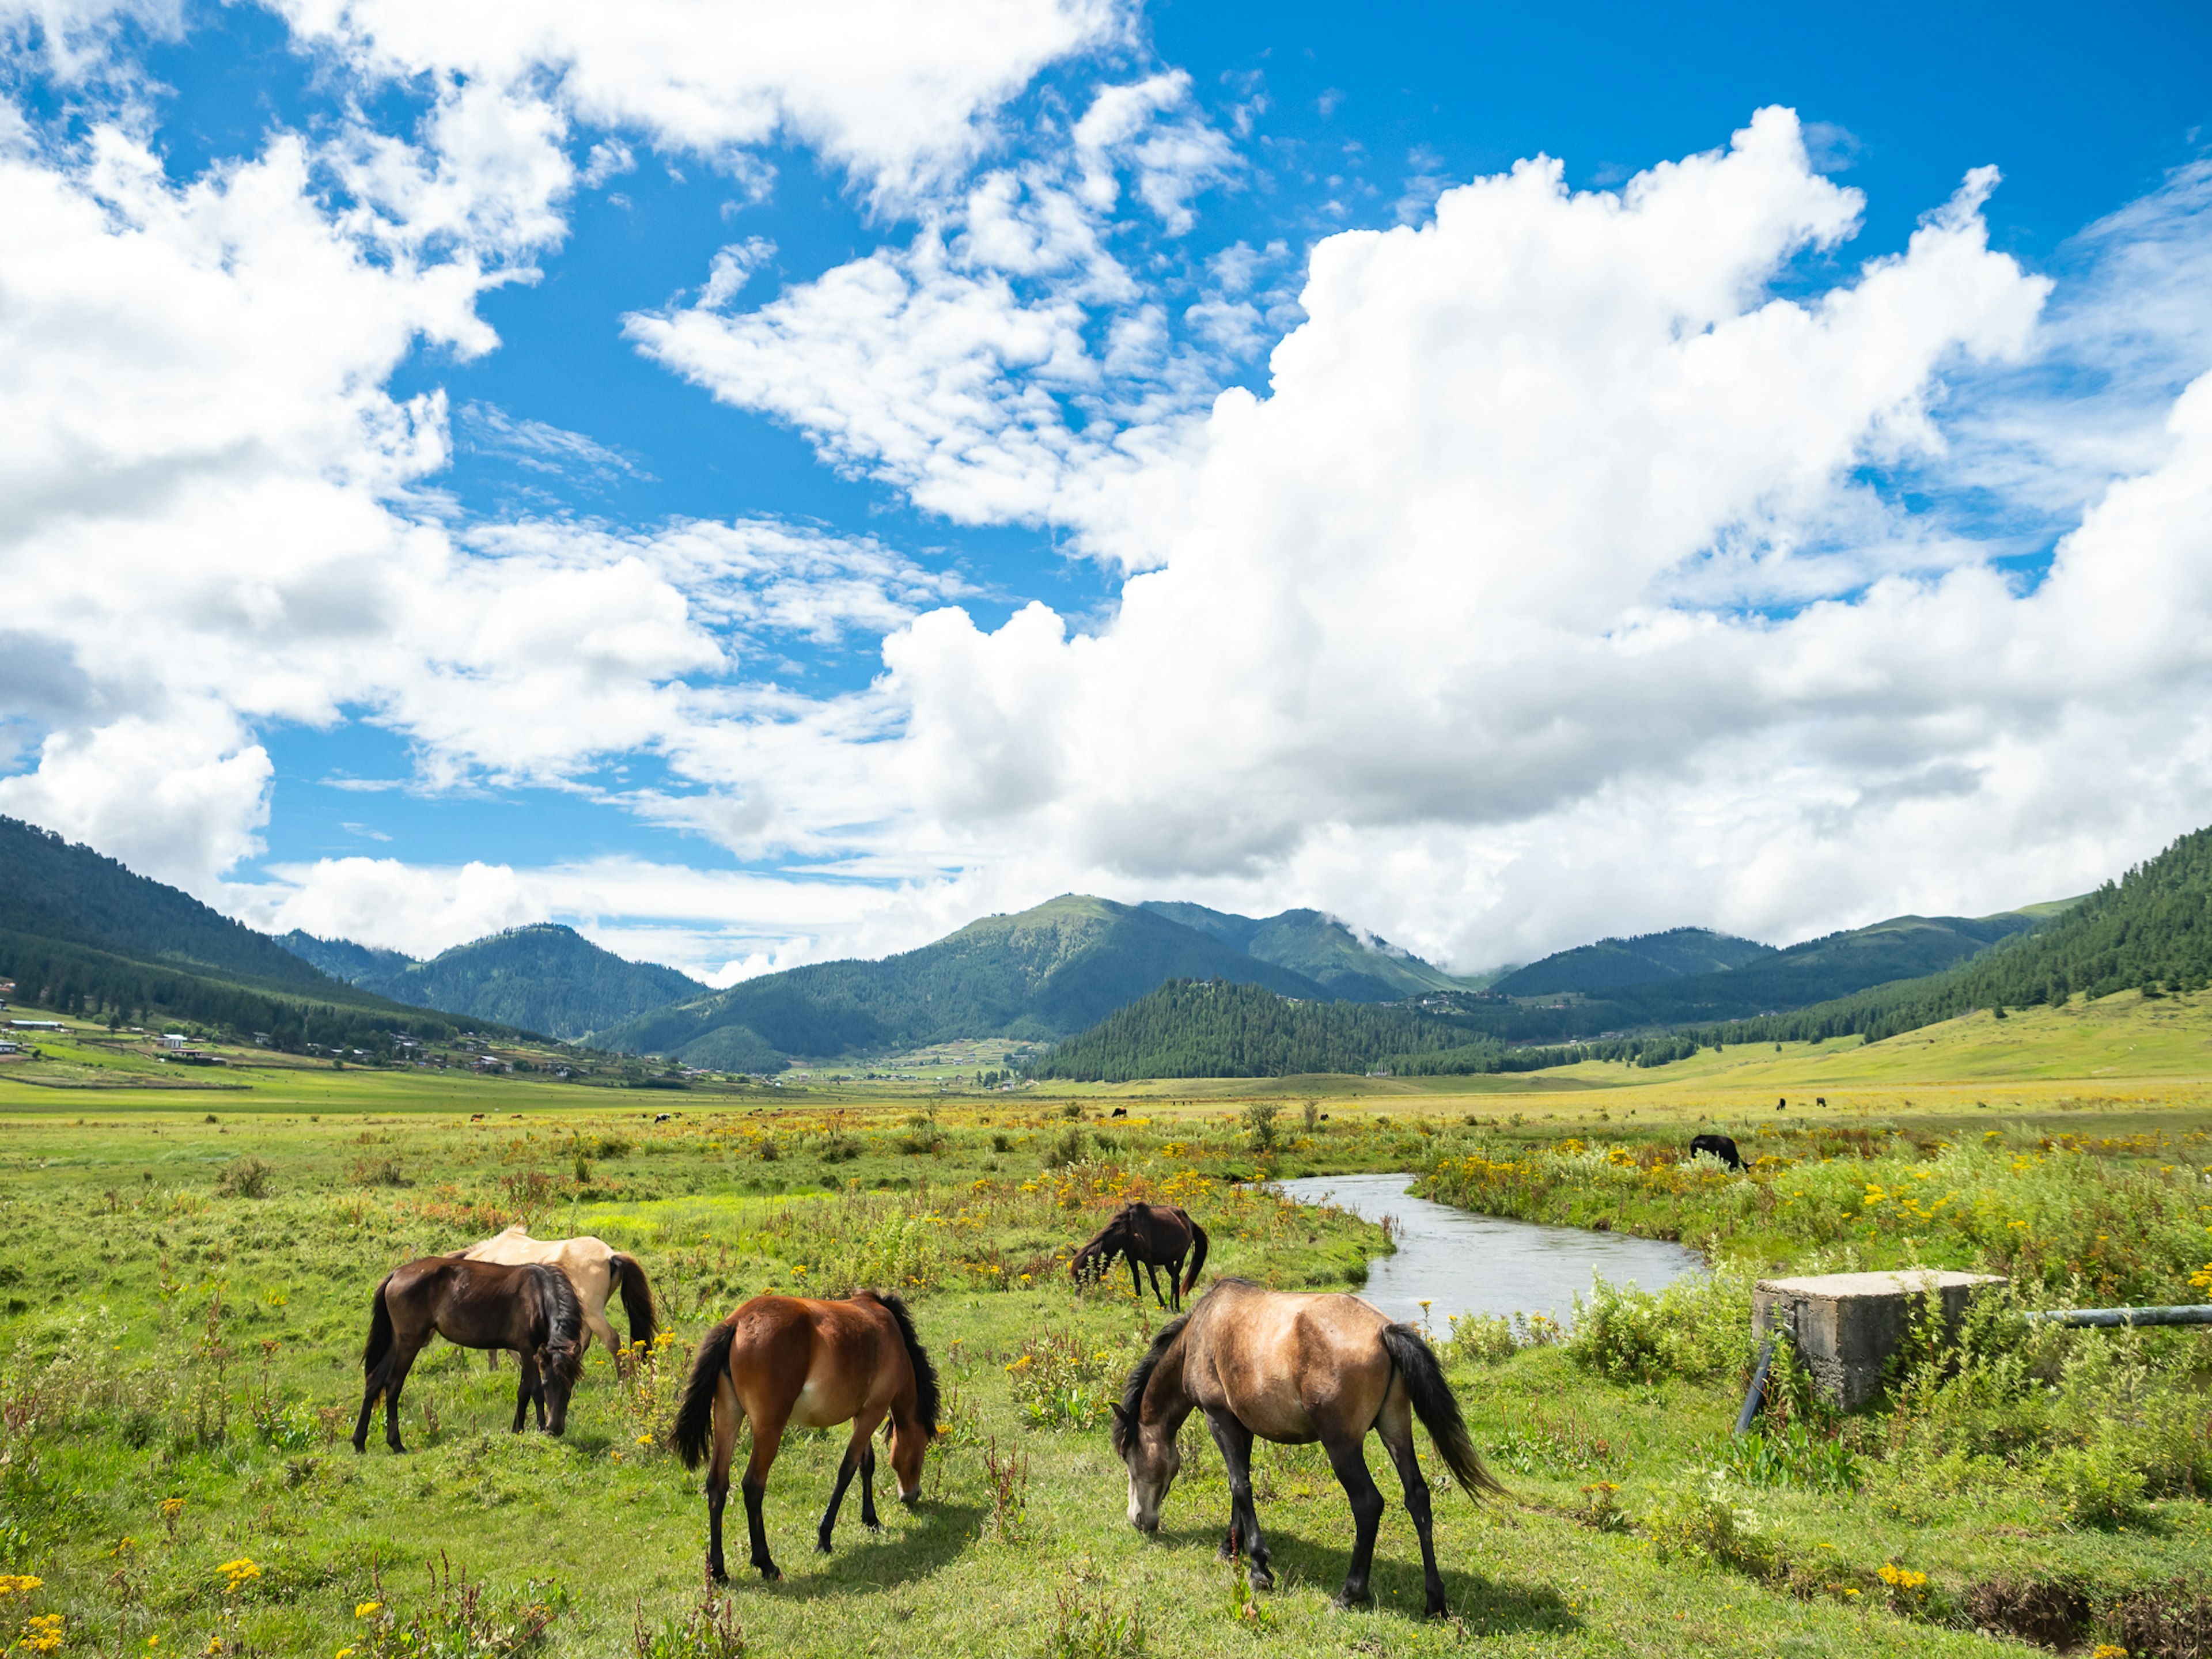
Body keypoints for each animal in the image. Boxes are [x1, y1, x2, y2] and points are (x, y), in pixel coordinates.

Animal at [351, 1256, 584, 1451]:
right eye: (547, 1384)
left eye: (570, 1386)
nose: (556, 1428)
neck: (538, 1295)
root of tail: (395, 1275)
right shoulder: (527, 1350)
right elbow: (534, 1391)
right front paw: (540, 1429)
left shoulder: (530, 1352)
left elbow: (522, 1392)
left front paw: (516, 1430)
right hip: (409, 1343)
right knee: (393, 1385)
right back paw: (397, 1444)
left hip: (397, 1342)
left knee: (374, 1381)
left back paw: (359, 1442)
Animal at [668, 1283, 938, 1584]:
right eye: (921, 1451)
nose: (911, 1495)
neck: (890, 1332)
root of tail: (736, 1323)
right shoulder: (873, 1412)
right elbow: (847, 1470)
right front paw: (825, 1537)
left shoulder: (861, 1414)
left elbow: (866, 1465)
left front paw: (871, 1519)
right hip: (769, 1429)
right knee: (753, 1486)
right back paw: (766, 1564)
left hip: (728, 1416)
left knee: (717, 1484)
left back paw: (718, 1570)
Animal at [1070, 1212, 1212, 1309]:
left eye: (1086, 1271)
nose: (1077, 1296)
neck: (1128, 1232)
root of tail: (1189, 1222)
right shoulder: (1132, 1259)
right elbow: (1137, 1282)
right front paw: (1138, 1302)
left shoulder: (1147, 1259)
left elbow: (1155, 1284)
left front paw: (1163, 1305)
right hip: (1168, 1261)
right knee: (1176, 1280)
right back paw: (1177, 1307)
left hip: (1180, 1258)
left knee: (1174, 1281)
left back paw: (1172, 1308)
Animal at [1106, 1283, 1504, 1619]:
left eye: (1128, 1458)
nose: (1138, 1520)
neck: (1199, 1336)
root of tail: (1383, 1331)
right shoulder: (1242, 1426)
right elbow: (1240, 1486)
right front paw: (1230, 1547)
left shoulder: (1219, 1419)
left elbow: (1240, 1487)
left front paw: (1258, 1568)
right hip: (1396, 1430)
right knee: (1418, 1498)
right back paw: (1435, 1601)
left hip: (1342, 1445)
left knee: (1368, 1504)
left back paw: (1349, 1594)